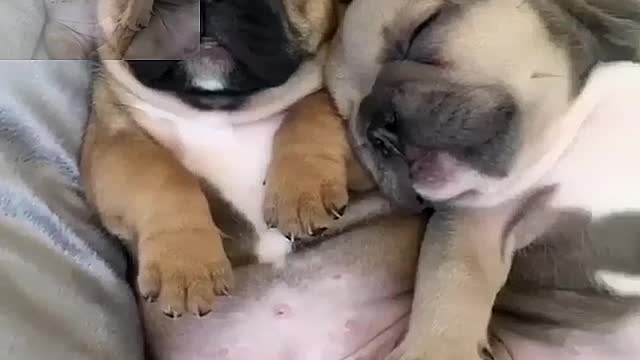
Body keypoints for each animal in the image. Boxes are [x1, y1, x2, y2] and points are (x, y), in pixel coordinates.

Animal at [328, 0, 640, 358]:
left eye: (421, 29)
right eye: (351, 122)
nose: (373, 128)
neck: (569, 131)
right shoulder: (480, 221)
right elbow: (453, 274)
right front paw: (436, 347)